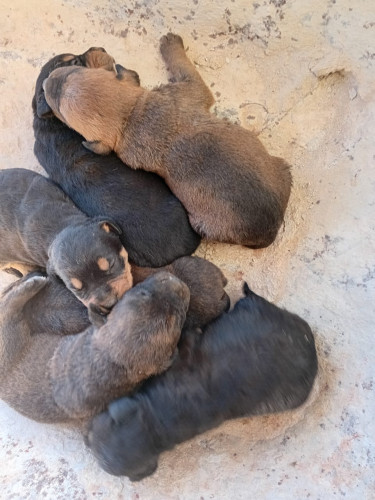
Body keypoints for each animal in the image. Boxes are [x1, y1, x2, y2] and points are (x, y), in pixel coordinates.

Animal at [43, 33, 294, 248]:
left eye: (72, 72)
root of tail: (269, 232)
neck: (131, 114)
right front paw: (171, 42)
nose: (46, 81)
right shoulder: (186, 88)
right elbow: (183, 66)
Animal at [84, 282, 318, 480]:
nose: (86, 439)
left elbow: (187, 338)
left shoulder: (186, 351)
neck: (156, 420)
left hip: (253, 310)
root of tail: (309, 340)